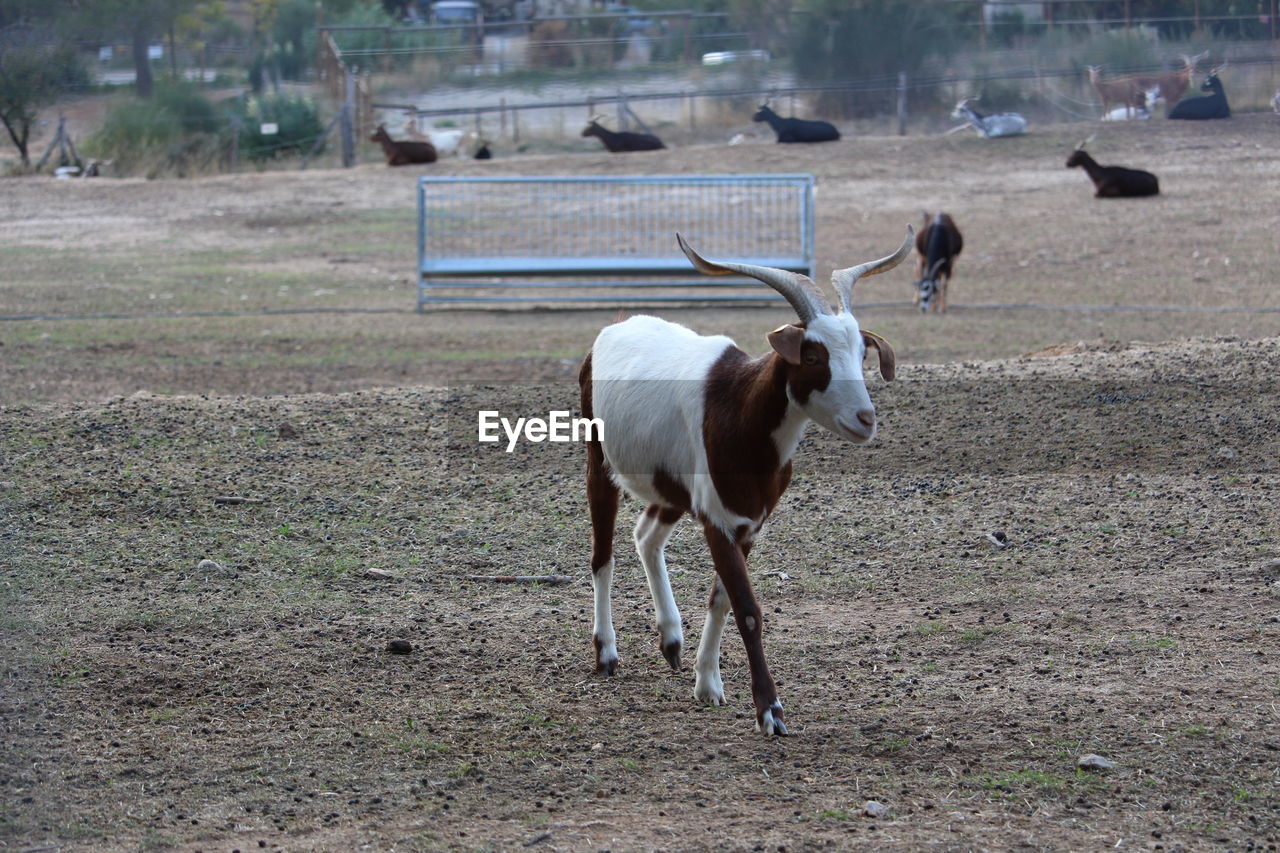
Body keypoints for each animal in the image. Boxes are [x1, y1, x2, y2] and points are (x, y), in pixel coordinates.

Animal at [581, 229, 911, 732]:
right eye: (811, 354)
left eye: (861, 353)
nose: (865, 419)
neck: (740, 409)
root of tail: (614, 328)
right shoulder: (718, 521)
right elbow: (748, 610)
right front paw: (769, 711)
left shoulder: (748, 523)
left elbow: (721, 599)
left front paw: (708, 684)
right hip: (599, 461)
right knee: (603, 554)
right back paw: (606, 653)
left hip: (671, 487)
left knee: (646, 535)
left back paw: (671, 640)